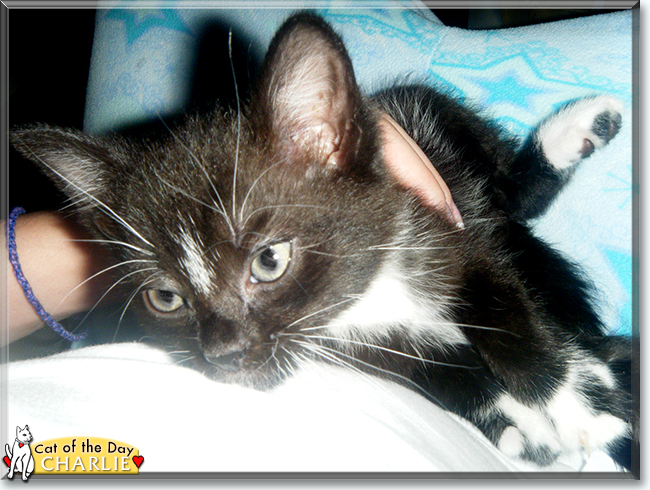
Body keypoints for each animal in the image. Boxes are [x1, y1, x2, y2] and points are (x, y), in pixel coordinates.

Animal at [12, 12, 636, 470]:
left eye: (269, 261)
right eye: (166, 298)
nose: (223, 354)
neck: (367, 292)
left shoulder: (437, 222)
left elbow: (505, 312)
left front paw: (580, 409)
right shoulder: (359, 345)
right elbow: (425, 367)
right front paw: (511, 419)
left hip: (422, 121)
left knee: (511, 191)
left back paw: (578, 128)